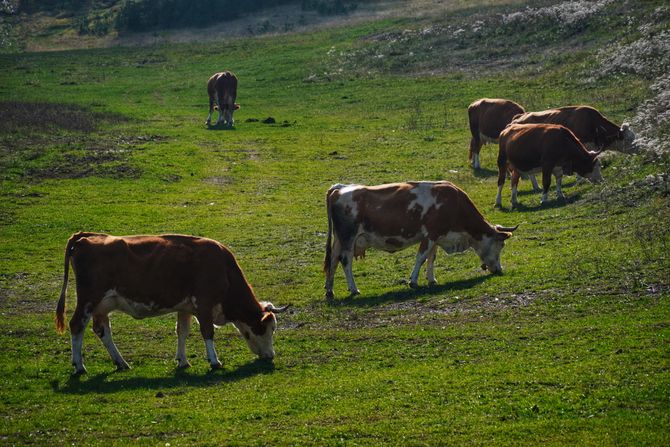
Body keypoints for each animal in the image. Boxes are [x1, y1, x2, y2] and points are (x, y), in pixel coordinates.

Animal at [55, 231, 288, 374]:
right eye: (269, 329)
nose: (271, 356)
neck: (223, 267)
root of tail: (87, 237)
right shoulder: (204, 304)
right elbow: (207, 333)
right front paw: (214, 361)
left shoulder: (185, 308)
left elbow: (182, 332)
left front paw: (183, 361)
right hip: (88, 300)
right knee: (76, 326)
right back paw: (79, 366)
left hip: (102, 306)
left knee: (102, 331)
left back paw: (121, 362)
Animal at [326, 180, 520, 300]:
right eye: (501, 244)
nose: (499, 270)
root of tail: (339, 188)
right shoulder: (431, 235)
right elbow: (421, 257)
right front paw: (413, 281)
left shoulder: (436, 237)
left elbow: (431, 258)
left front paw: (432, 280)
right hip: (348, 237)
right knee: (345, 261)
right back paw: (353, 288)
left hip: (339, 240)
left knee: (333, 261)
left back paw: (329, 290)